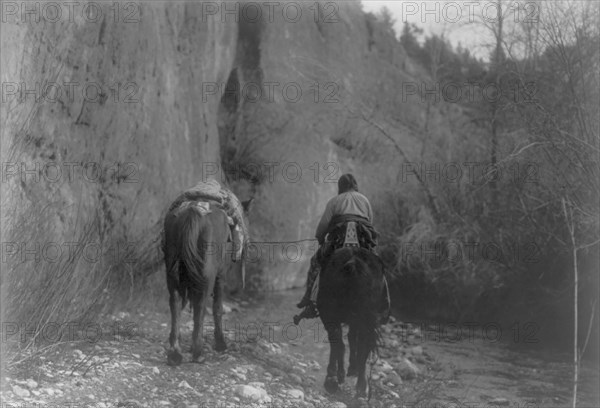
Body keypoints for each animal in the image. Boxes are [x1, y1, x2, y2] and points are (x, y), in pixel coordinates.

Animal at [163, 200, 231, 364]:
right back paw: (198, 351)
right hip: (208, 276)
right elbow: (217, 307)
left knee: (175, 303)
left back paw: (175, 352)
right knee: (201, 305)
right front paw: (220, 343)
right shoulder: (220, 275)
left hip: (172, 275)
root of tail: (192, 211)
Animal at [316, 245, 386, 398]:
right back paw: (360, 386)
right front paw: (350, 370)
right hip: (364, 317)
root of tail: (353, 264)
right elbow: (353, 340)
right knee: (361, 345)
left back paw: (333, 380)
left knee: (339, 341)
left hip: (333, 314)